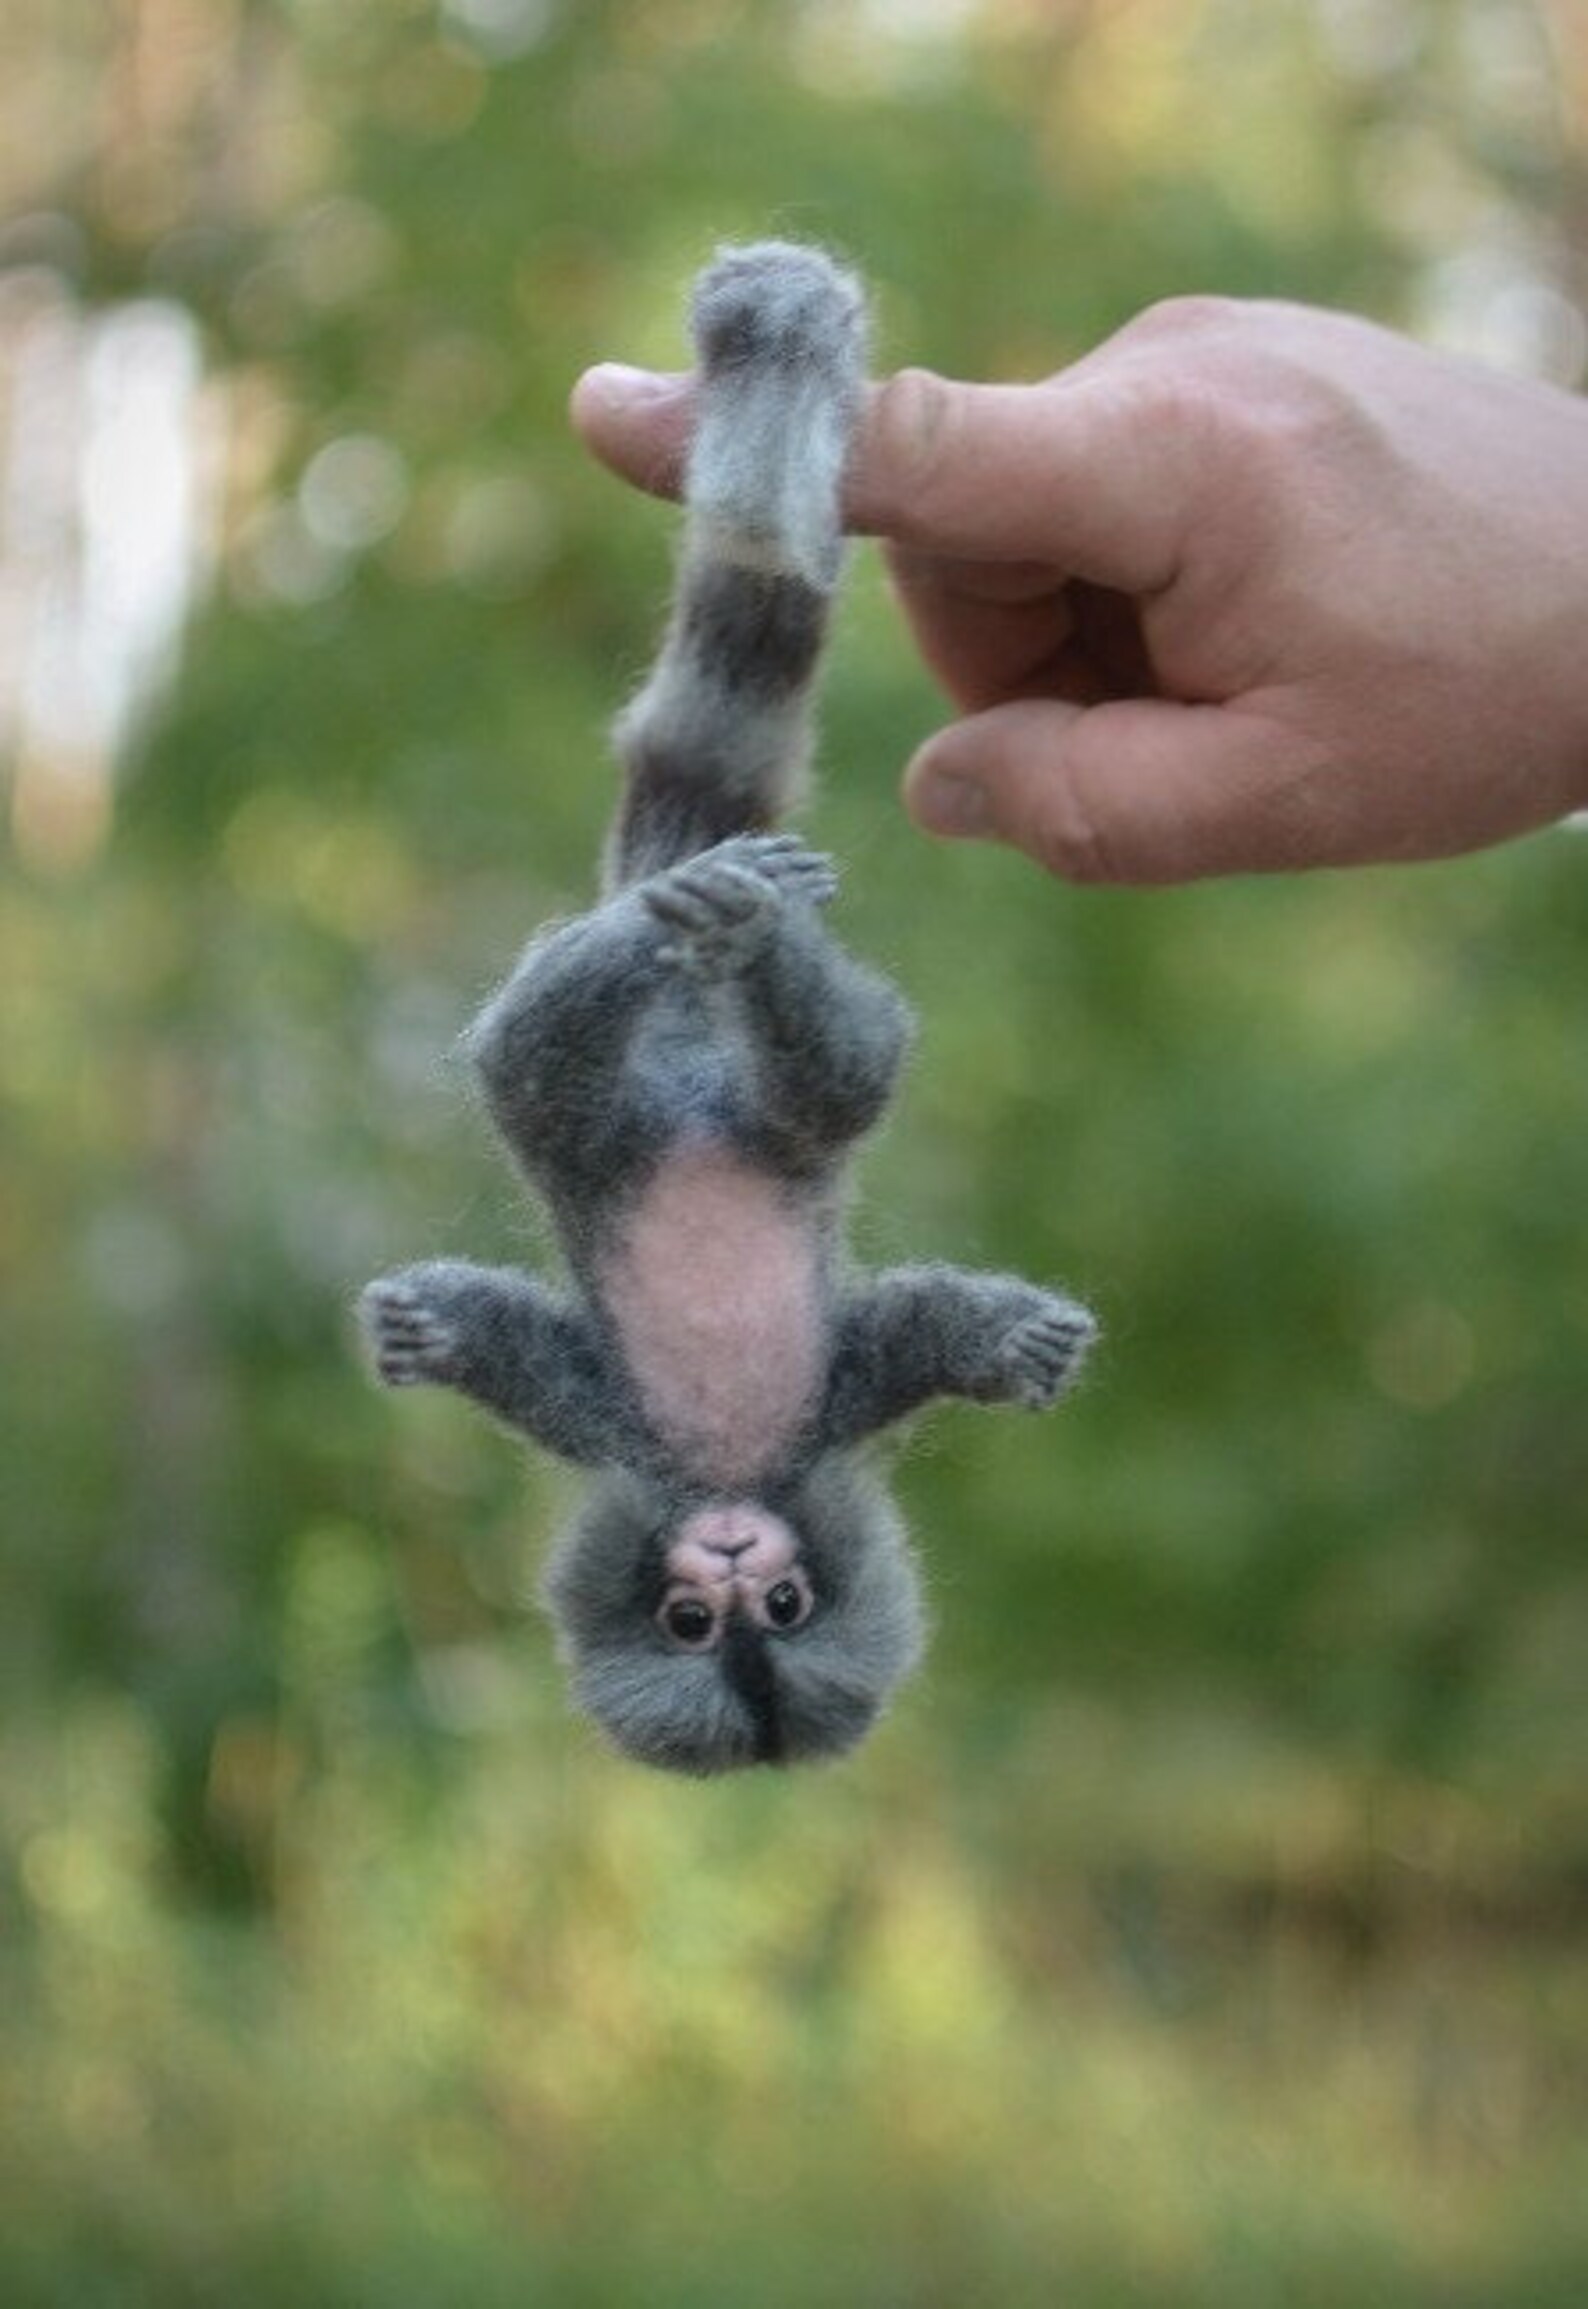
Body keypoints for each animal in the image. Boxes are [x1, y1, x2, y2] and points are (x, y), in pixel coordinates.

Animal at [360, 243, 1096, 1774]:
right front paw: (421, 1337)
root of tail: (689, 1056)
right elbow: (497, 1332)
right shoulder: (606, 1424)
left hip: (758, 1106)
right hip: (599, 1120)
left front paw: (1020, 1346)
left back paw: (737, 940)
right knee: (533, 1065)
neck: (727, 1462)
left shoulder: (839, 1395)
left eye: (787, 1608)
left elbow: (928, 1307)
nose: (730, 1558)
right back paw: (658, 924)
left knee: (834, 1074)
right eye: (692, 1623)